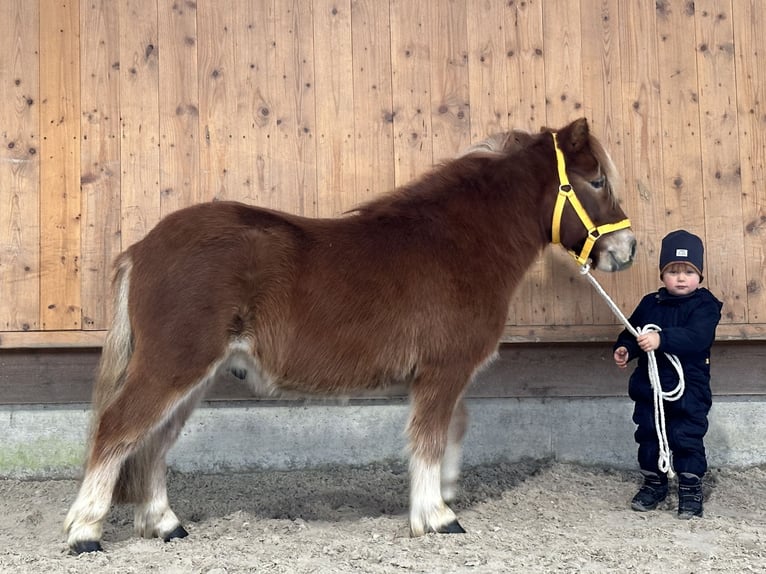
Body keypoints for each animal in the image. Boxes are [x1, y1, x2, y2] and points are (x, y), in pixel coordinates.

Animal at [66, 117, 640, 552]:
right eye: (595, 181)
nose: (627, 249)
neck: (457, 243)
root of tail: (142, 247)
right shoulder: (443, 371)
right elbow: (429, 438)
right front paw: (436, 516)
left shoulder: (442, 377)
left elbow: (453, 430)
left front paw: (446, 493)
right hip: (173, 366)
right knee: (119, 429)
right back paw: (85, 532)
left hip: (194, 377)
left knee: (153, 442)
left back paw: (164, 524)